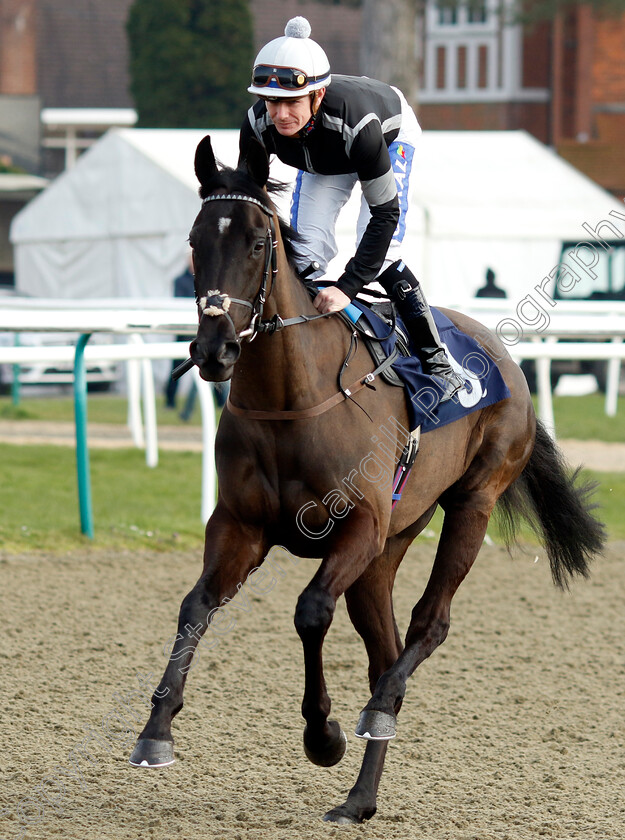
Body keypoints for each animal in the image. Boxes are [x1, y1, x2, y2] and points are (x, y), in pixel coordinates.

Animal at [128, 136, 604, 820]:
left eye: (256, 241)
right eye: (195, 239)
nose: (214, 350)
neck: (292, 401)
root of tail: (505, 357)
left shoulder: (357, 524)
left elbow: (309, 611)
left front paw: (322, 733)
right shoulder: (241, 524)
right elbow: (195, 605)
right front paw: (156, 731)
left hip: (471, 502)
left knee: (428, 626)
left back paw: (374, 716)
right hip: (388, 550)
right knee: (385, 653)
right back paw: (359, 797)